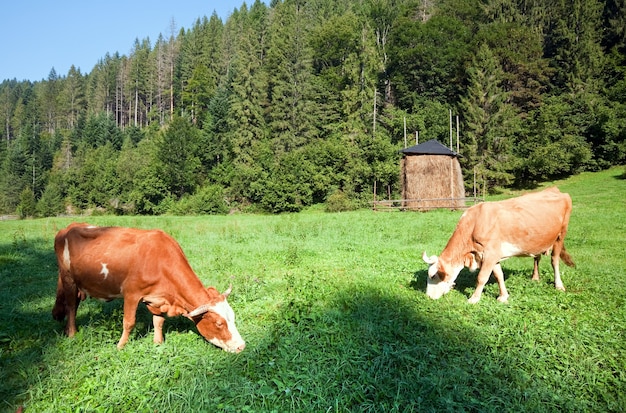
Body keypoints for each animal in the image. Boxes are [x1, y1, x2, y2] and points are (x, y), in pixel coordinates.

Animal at [50, 222, 244, 350]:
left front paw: (158, 342)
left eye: (233, 317)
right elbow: (129, 322)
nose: (241, 346)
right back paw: (72, 333)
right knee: (71, 306)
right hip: (68, 278)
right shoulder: (131, 293)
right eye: (219, 323)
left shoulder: (158, 298)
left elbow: (158, 321)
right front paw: (120, 346)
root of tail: (70, 226)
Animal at [422, 187, 572, 302]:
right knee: (537, 257)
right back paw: (535, 278)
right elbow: (499, 275)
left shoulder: (490, 254)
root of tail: (555, 189)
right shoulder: (490, 255)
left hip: (561, 234)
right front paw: (503, 296)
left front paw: (474, 299)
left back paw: (559, 285)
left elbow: (482, 277)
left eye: (433, 276)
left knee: (554, 260)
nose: (428, 296)